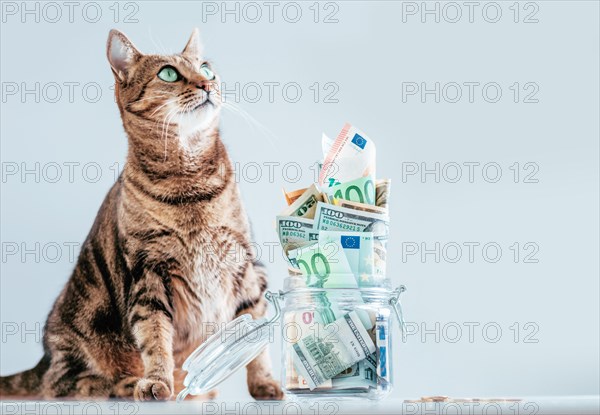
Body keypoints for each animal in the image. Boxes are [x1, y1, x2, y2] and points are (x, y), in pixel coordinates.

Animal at [0, 27, 284, 402]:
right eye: (169, 73)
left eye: (206, 69)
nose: (206, 84)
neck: (189, 186)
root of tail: (42, 359)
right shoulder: (148, 273)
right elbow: (155, 336)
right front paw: (157, 381)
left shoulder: (244, 264)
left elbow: (256, 334)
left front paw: (264, 383)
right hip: (78, 332)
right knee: (63, 384)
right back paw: (124, 384)